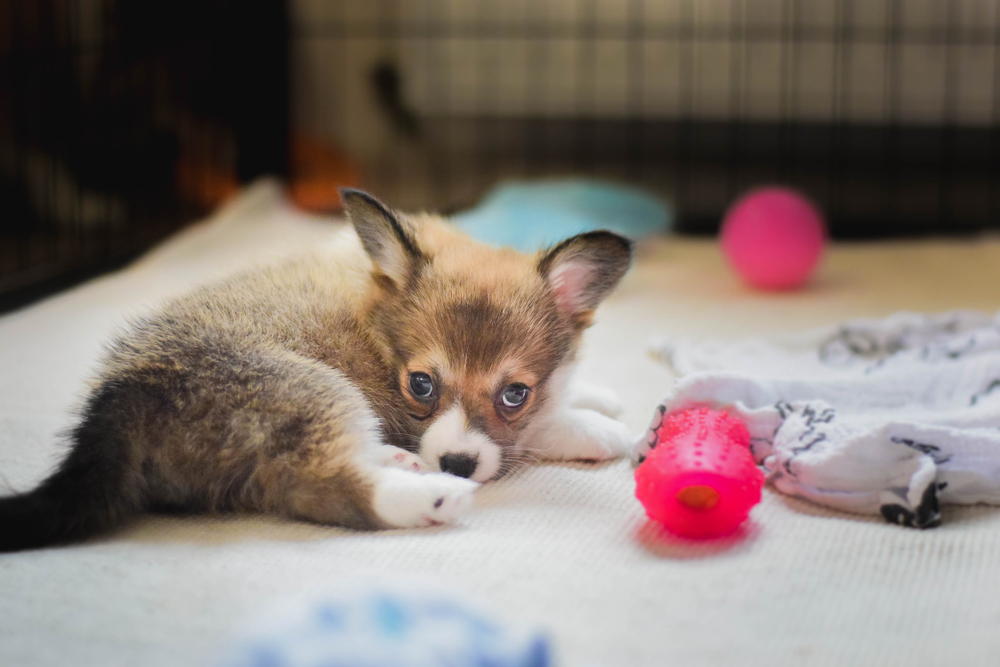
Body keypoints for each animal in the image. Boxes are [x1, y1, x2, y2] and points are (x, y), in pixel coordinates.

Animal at [0, 189, 632, 552]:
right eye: (421, 384)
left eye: (513, 393)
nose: (456, 464)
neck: (378, 317)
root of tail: (117, 404)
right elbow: (541, 431)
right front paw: (605, 430)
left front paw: (599, 396)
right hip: (312, 389)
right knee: (317, 485)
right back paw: (430, 496)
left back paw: (403, 465)